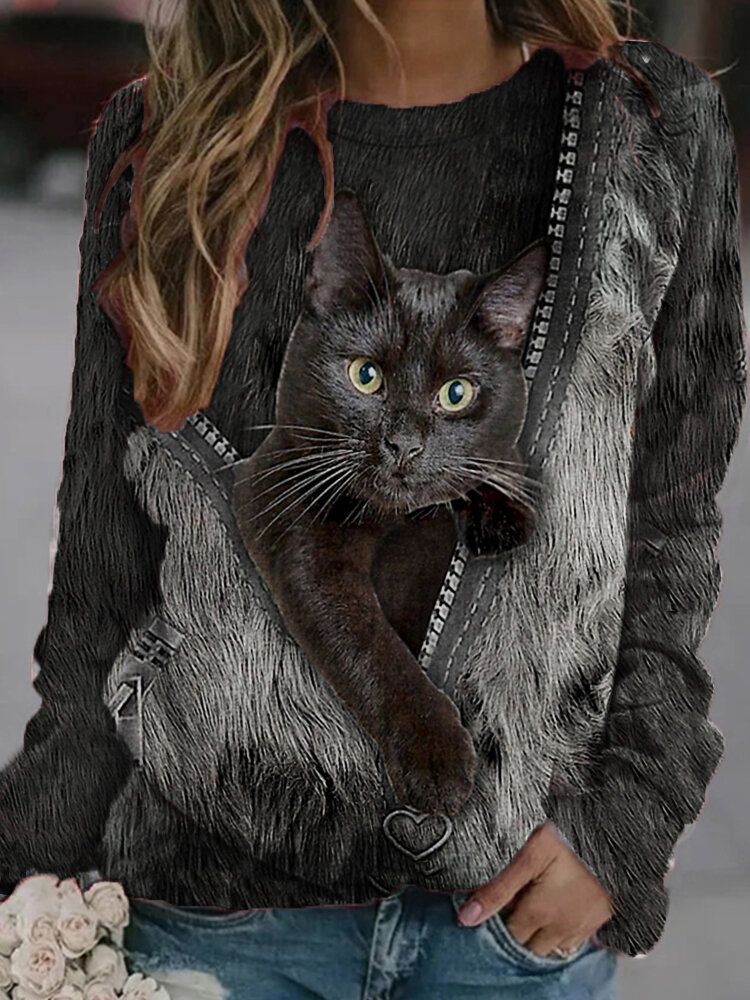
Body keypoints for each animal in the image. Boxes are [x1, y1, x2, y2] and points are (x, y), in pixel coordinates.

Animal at [232, 189, 548, 820]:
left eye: (457, 393)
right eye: (365, 376)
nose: (404, 444)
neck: (402, 522)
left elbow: (500, 467)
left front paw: (500, 515)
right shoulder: (292, 526)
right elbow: (371, 650)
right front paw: (437, 759)